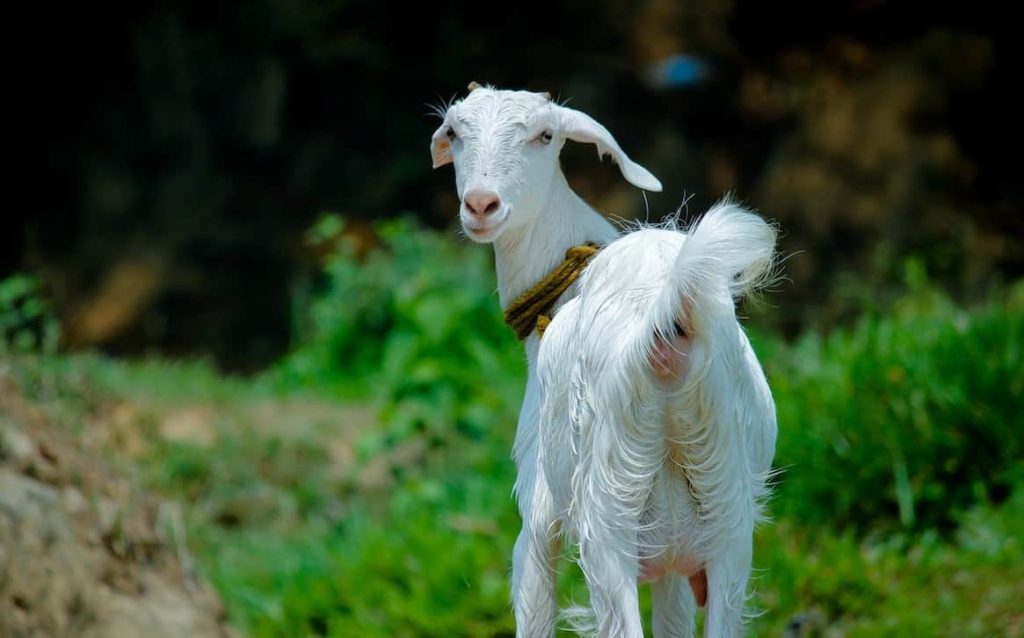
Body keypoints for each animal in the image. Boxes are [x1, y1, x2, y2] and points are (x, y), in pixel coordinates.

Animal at [430, 83, 774, 634]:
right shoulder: (675, 565)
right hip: (726, 515)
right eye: (455, 132)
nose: (481, 204)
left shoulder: (537, 508)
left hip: (606, 510)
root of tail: (666, 322)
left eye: (545, 135)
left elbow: (534, 607)